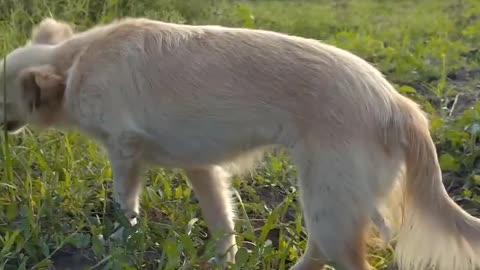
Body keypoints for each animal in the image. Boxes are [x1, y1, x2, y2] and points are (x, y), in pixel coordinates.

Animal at [0, 17, 480, 268]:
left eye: (1, 96)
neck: (75, 63)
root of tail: (398, 103)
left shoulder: (124, 152)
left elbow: (125, 209)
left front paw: (121, 238)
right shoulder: (201, 167)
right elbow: (222, 223)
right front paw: (224, 258)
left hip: (329, 204)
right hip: (331, 206)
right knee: (319, 254)